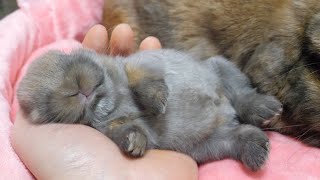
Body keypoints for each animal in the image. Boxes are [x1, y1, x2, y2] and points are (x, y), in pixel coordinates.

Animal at [18, 48, 282, 171]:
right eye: (45, 104)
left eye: (66, 58)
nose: (76, 91)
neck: (115, 99)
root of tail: (227, 116)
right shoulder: (112, 126)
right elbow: (126, 130)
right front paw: (134, 143)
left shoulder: (140, 63)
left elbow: (139, 76)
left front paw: (158, 102)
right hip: (215, 143)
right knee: (243, 136)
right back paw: (257, 151)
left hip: (221, 67)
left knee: (243, 95)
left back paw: (266, 110)